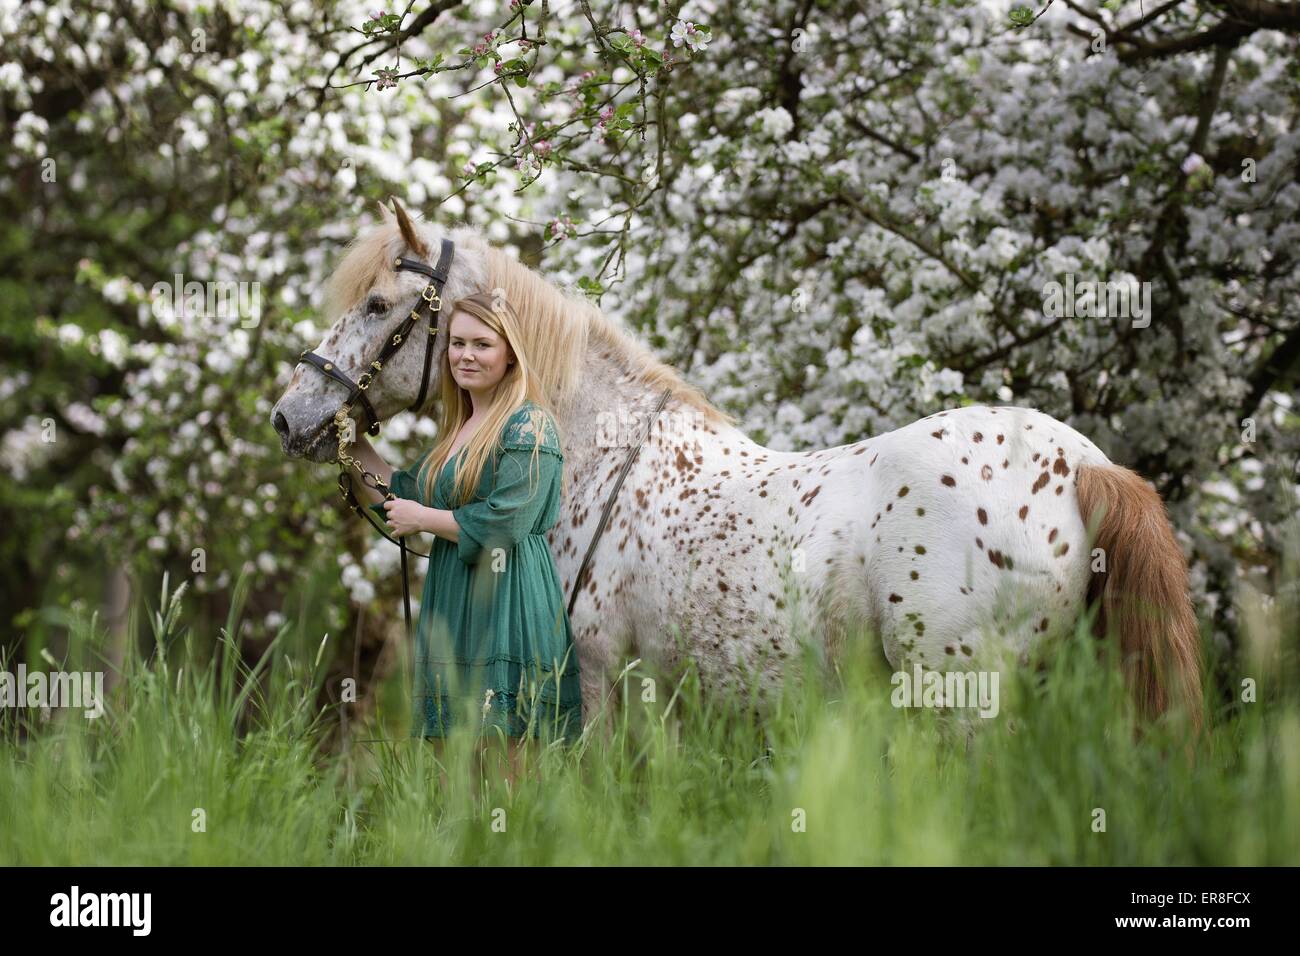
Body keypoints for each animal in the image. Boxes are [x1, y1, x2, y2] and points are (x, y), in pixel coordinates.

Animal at [269, 200, 1201, 733]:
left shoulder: (598, 683)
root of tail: (1082, 466)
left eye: (379, 304)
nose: (292, 414)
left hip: (964, 698)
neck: (596, 459)